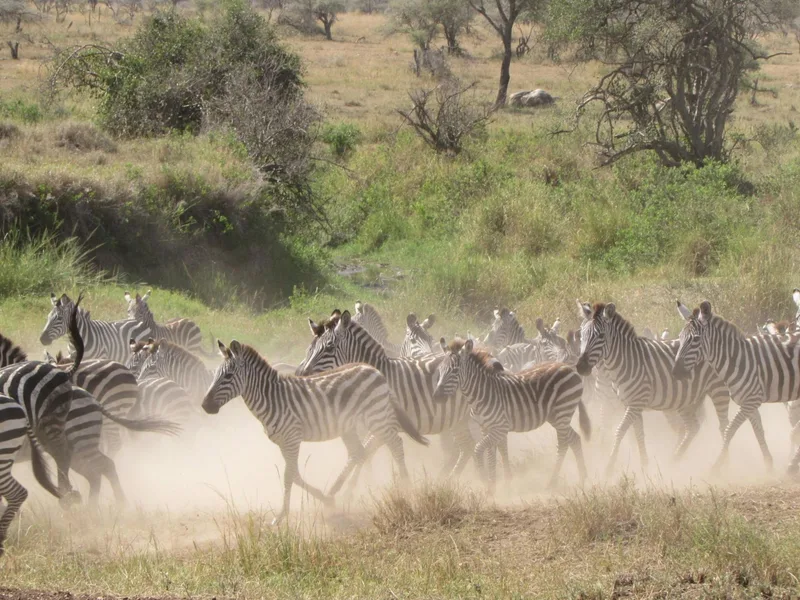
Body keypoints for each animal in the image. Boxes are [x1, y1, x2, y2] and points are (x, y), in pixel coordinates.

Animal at [203, 339, 429, 525]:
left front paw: (280, 516)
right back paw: (340, 492)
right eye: (214, 375)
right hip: (351, 426)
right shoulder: (283, 442)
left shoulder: (292, 438)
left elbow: (288, 476)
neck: (273, 398)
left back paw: (407, 489)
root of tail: (374, 370)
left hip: (377, 417)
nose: (205, 406)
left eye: (228, 376)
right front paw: (325, 499)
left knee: (396, 445)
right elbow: (294, 475)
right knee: (360, 452)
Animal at [297, 310, 477, 477]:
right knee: (466, 447)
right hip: (459, 419)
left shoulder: (383, 424)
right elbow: (363, 453)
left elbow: (364, 453)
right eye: (310, 348)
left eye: (329, 348)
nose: (302, 374)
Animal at [432, 338, 589, 491]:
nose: (436, 397)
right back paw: (582, 478)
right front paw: (493, 485)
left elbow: (479, 449)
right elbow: (491, 453)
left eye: (455, 371)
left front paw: (485, 481)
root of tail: (570, 368)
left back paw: (552, 482)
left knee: (563, 444)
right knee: (574, 439)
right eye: (439, 370)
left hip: (562, 412)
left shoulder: (500, 428)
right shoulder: (485, 428)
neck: (481, 394)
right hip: (556, 417)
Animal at [576, 301, 735, 477]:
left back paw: (725, 466)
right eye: (581, 335)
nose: (581, 367)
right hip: (686, 399)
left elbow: (620, 431)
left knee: (723, 426)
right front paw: (644, 465)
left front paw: (609, 467)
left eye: (601, 336)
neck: (625, 361)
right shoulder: (629, 403)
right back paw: (674, 460)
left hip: (718, 389)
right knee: (692, 427)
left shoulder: (635, 403)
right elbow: (638, 433)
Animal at [672, 300, 800, 474]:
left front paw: (716, 467)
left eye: (696, 339)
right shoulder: (749, 403)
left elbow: (729, 431)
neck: (737, 360)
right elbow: (758, 432)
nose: (675, 372)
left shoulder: (751, 401)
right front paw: (769, 465)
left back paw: (792, 467)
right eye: (680, 338)